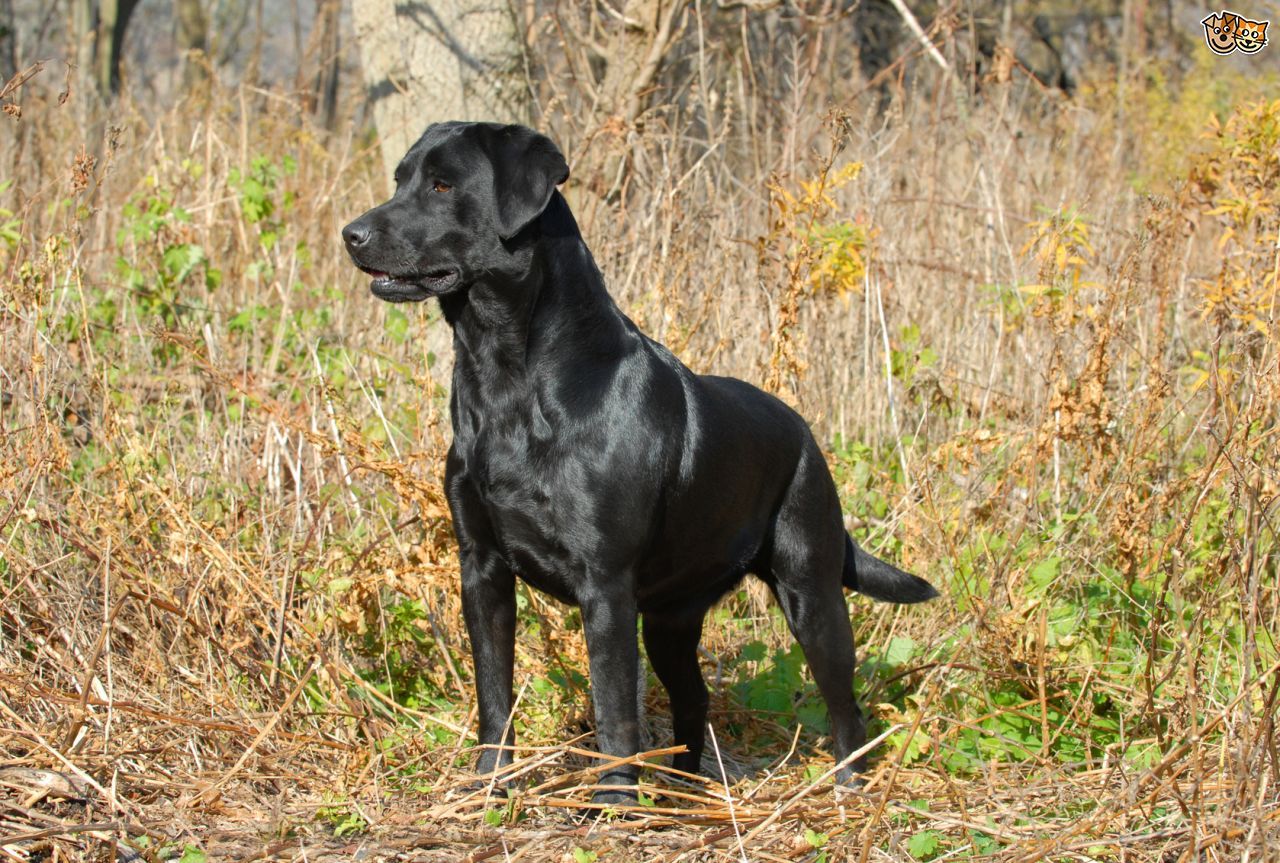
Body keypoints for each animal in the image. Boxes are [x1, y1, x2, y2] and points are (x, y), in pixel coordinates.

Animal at [345, 120, 936, 798]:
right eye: (400, 180)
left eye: (442, 185)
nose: (351, 233)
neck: (506, 379)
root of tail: (803, 430)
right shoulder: (481, 568)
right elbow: (494, 692)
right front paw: (491, 783)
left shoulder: (605, 582)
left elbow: (614, 711)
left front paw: (610, 802)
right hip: (669, 621)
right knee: (694, 698)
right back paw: (682, 789)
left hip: (810, 590)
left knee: (845, 704)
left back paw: (846, 786)